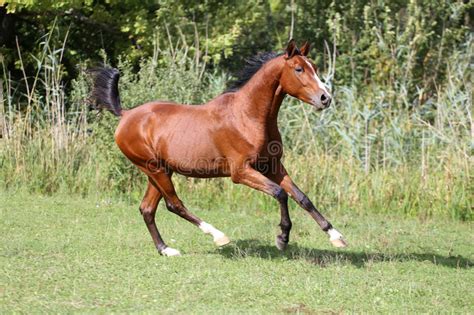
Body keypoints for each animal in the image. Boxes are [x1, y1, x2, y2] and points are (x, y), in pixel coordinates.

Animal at [90, 39, 348, 256]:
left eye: (314, 66)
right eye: (298, 69)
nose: (325, 98)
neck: (248, 116)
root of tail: (126, 114)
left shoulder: (272, 166)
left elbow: (302, 197)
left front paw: (336, 237)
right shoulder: (241, 172)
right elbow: (280, 193)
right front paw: (282, 238)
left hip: (160, 171)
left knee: (147, 209)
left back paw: (166, 250)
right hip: (154, 168)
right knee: (174, 204)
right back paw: (218, 236)